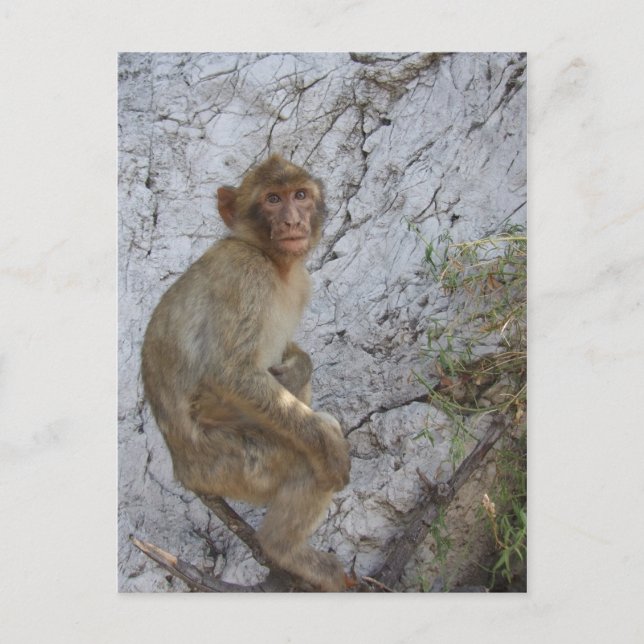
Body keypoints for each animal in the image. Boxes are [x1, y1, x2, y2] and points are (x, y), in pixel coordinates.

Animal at [141, 155, 351, 591]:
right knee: (302, 460)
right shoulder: (244, 273)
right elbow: (229, 373)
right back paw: (283, 549)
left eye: (299, 195)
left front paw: (298, 367)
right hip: (232, 465)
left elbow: (289, 359)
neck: (268, 257)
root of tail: (185, 472)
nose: (292, 221)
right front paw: (327, 442)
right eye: (272, 199)